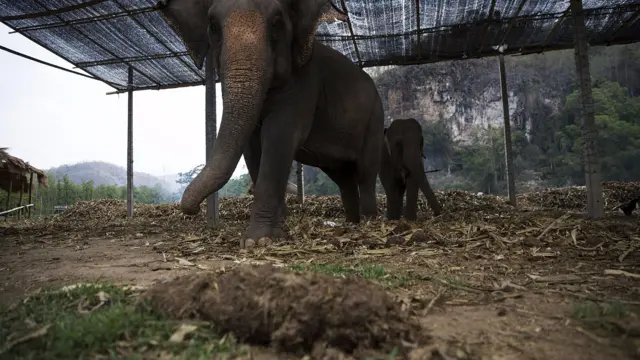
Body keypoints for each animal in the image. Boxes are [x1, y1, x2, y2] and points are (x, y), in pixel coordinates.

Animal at [159, 0, 384, 248]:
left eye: (276, 23)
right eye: (213, 26)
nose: (194, 210)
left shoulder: (304, 82)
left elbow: (279, 135)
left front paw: (258, 241)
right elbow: (251, 144)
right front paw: (278, 227)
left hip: (375, 119)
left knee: (365, 172)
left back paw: (369, 221)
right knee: (343, 177)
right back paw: (352, 222)